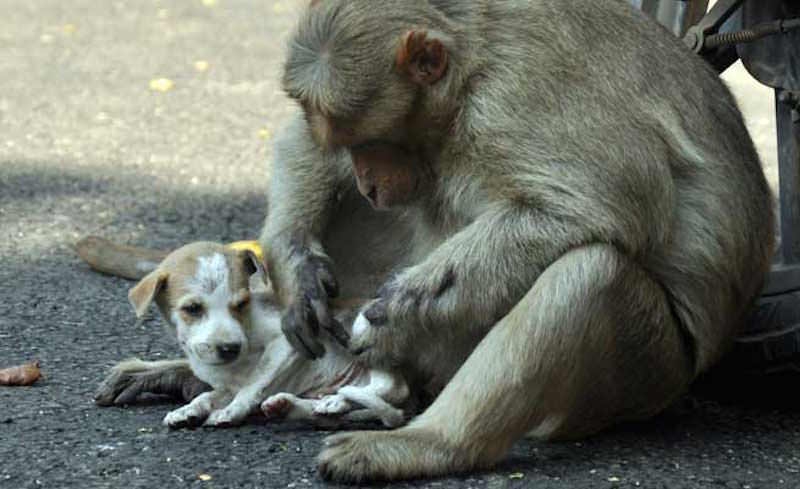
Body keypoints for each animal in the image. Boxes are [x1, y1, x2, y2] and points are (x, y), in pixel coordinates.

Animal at [125, 241, 412, 428]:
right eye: (192, 309)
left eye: (241, 303)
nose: (230, 348)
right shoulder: (226, 384)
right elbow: (206, 395)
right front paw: (188, 410)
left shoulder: (285, 342)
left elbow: (254, 382)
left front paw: (232, 411)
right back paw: (301, 405)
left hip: (363, 330)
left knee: (391, 388)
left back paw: (336, 400)